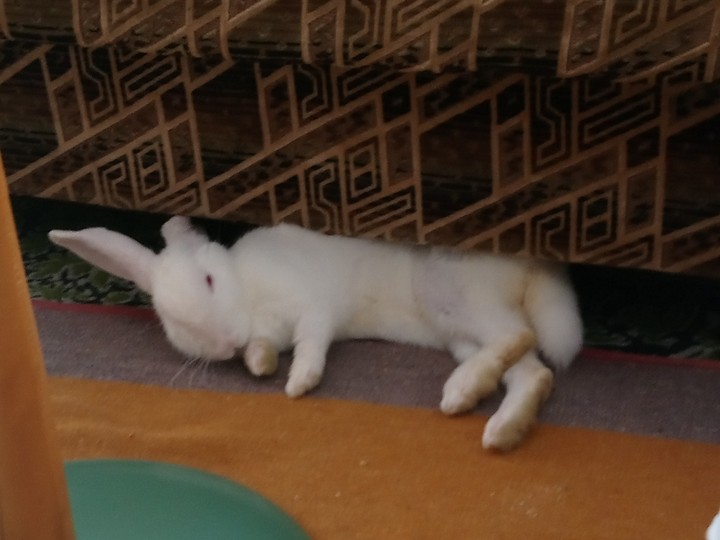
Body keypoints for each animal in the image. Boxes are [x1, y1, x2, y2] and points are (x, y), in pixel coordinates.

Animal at [49, 216, 583, 451]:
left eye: (210, 280)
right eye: (172, 321)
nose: (226, 341)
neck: (249, 295)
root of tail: (534, 264)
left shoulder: (314, 309)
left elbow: (312, 342)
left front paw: (299, 382)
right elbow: (265, 348)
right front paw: (261, 363)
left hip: (451, 292)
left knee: (520, 336)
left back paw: (463, 389)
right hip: (458, 330)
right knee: (533, 372)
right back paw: (496, 422)